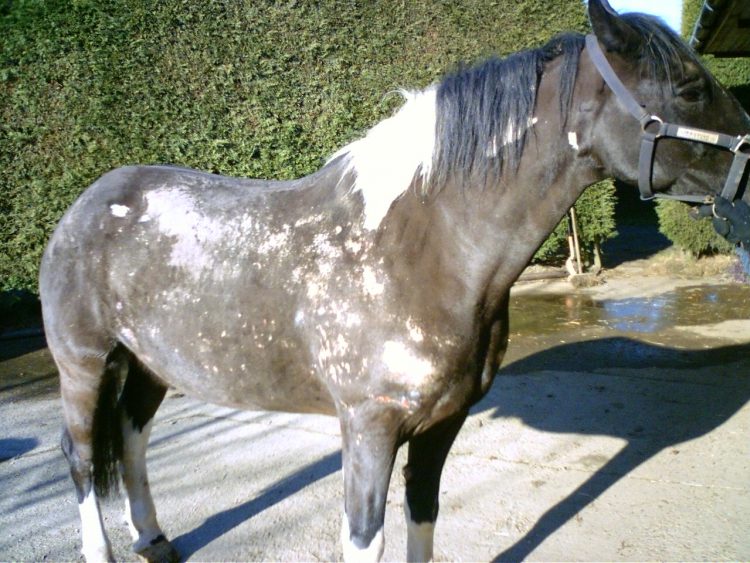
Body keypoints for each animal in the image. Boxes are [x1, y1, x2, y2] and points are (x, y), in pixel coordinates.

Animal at [40, 0, 750, 561]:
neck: (420, 249)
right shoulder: (370, 428)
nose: (748, 181)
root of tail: (82, 208)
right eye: (690, 88)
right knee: (81, 457)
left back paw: (153, 540)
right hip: (86, 365)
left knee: (132, 438)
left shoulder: (442, 424)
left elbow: (423, 519)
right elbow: (365, 536)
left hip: (150, 366)